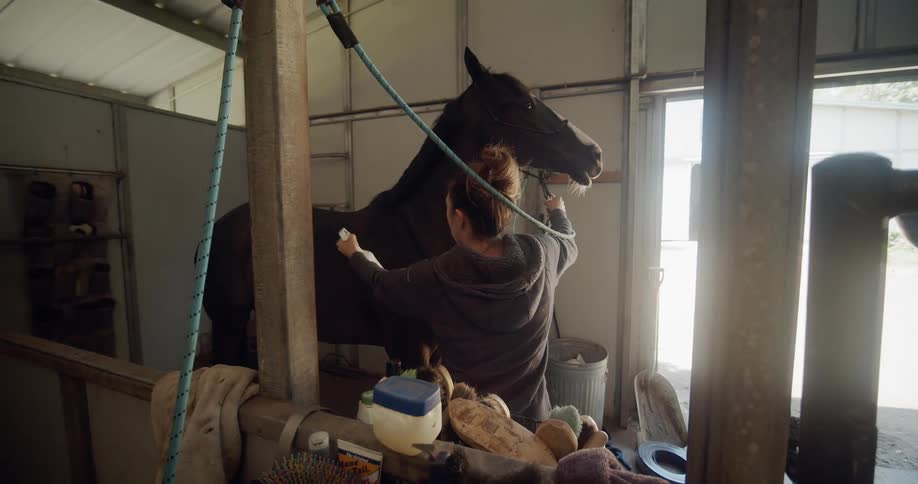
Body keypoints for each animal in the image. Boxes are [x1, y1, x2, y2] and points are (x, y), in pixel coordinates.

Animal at [203, 47, 603, 370]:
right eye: (528, 105)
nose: (594, 154)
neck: (419, 233)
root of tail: (217, 230)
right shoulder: (413, 353)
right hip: (228, 325)